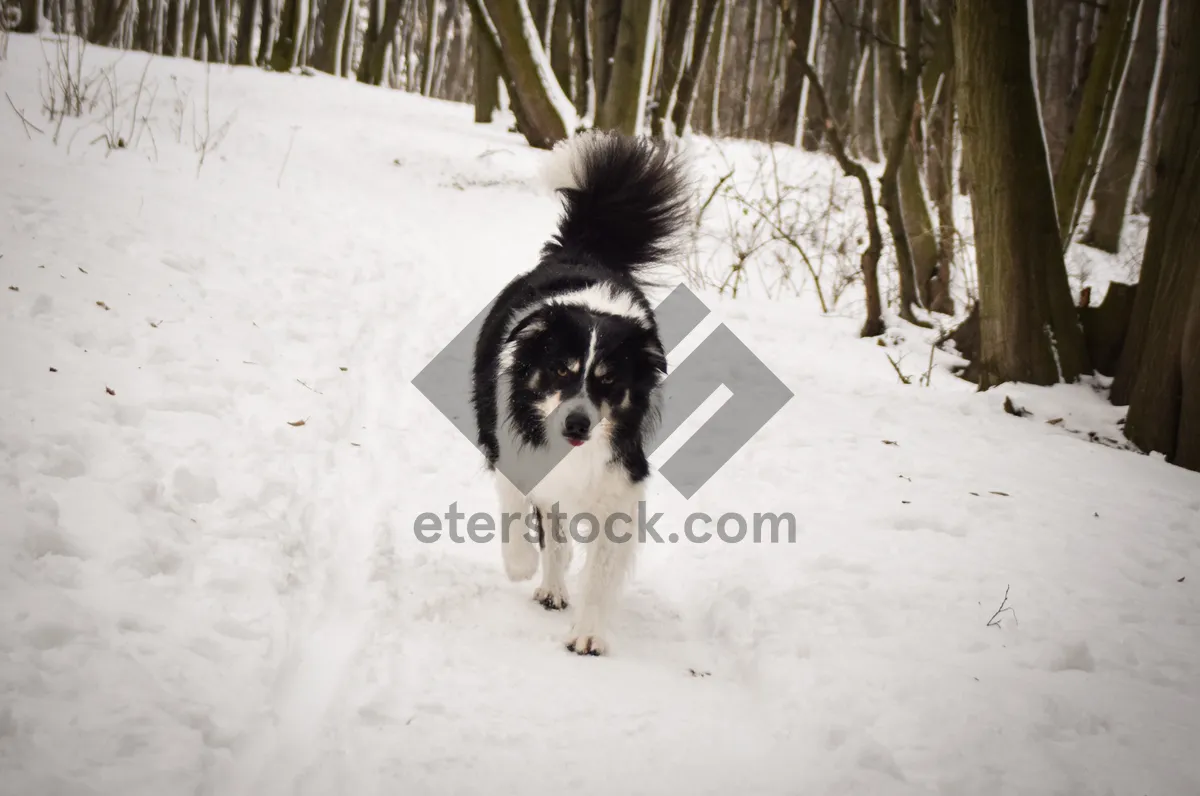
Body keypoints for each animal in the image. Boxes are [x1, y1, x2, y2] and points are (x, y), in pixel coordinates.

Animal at [472, 132, 691, 653]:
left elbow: (603, 566)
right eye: (560, 371)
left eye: (608, 380)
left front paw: (588, 634)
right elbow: (521, 517)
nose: (577, 422)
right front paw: (523, 566)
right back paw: (548, 582)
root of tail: (586, 248)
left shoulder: (622, 476)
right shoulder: (512, 448)